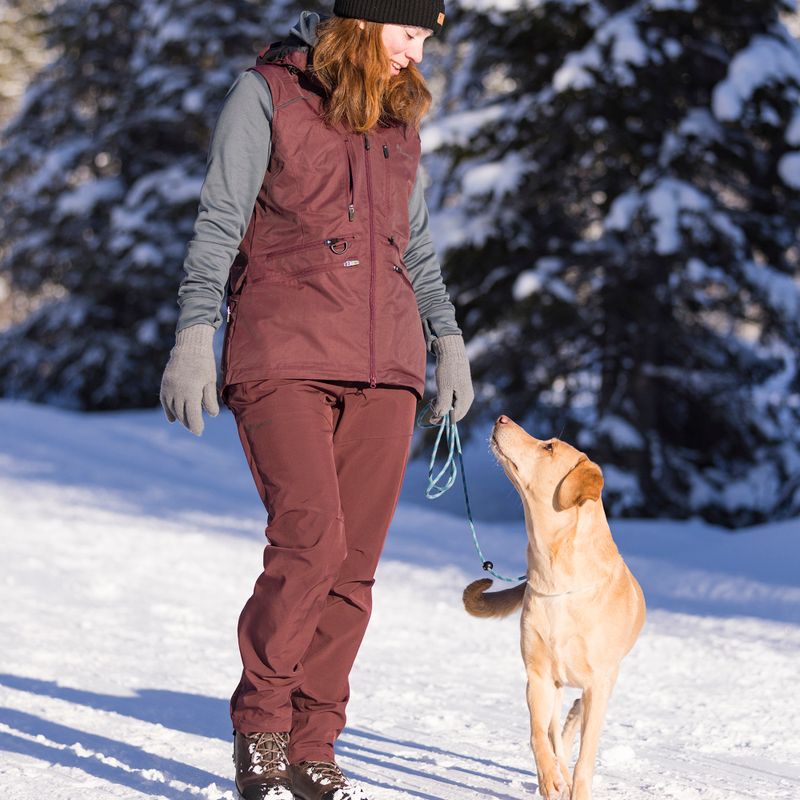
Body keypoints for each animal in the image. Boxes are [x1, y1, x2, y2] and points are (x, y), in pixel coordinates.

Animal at [466, 418, 648, 800]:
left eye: (548, 447)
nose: (502, 418)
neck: (556, 581)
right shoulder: (539, 676)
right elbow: (539, 735)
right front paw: (550, 778)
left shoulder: (599, 683)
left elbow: (586, 757)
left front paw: (576, 788)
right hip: (558, 684)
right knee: (555, 731)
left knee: (576, 717)